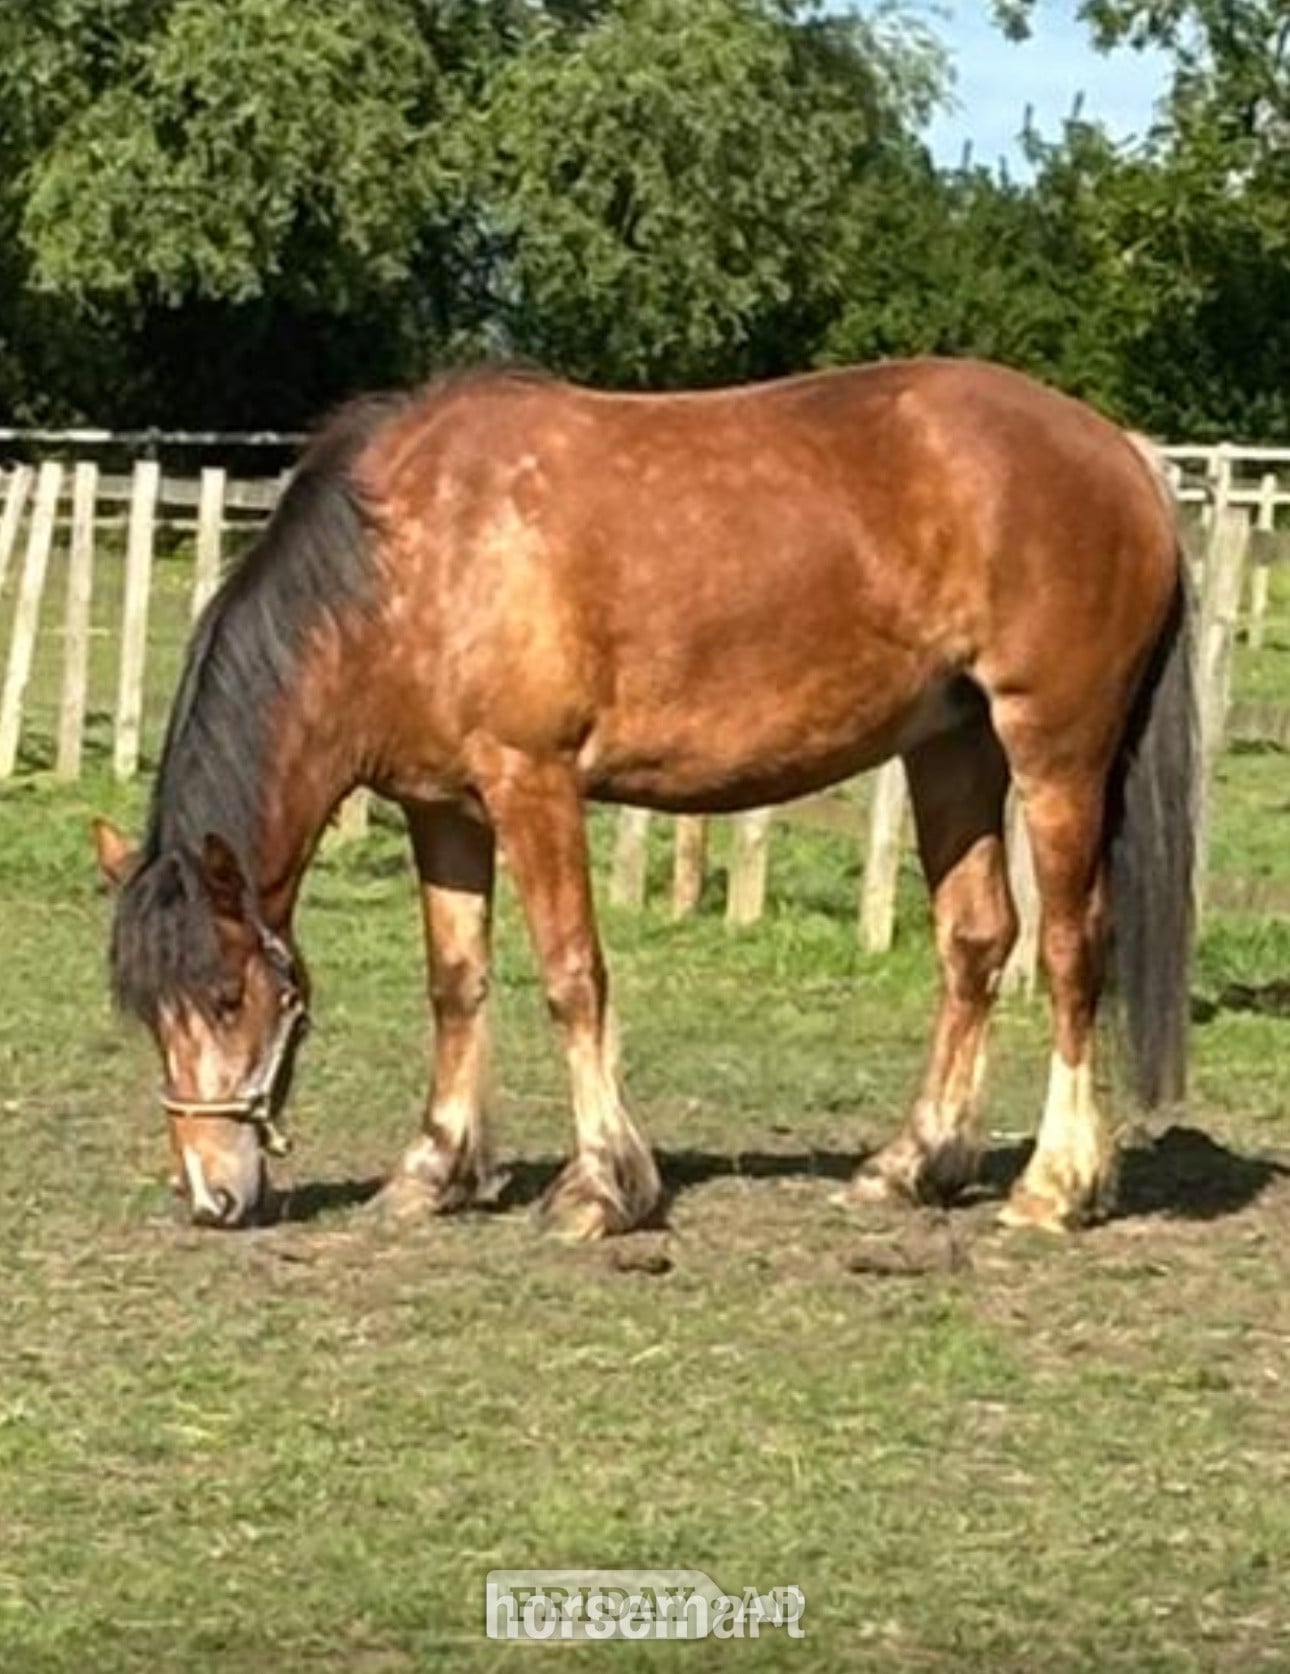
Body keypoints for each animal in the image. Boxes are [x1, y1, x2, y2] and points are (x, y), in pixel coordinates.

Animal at [93, 358, 1195, 1235]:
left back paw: (1054, 1187)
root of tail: (1122, 453)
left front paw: (600, 1189)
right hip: (953, 747)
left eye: (229, 996)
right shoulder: (441, 809)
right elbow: (456, 982)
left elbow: (573, 977)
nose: (211, 1194)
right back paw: (912, 1166)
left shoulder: (532, 783)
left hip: (1054, 751)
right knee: (974, 941)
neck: (407, 557)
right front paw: (432, 1172)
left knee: (1070, 950)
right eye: (147, 1012)